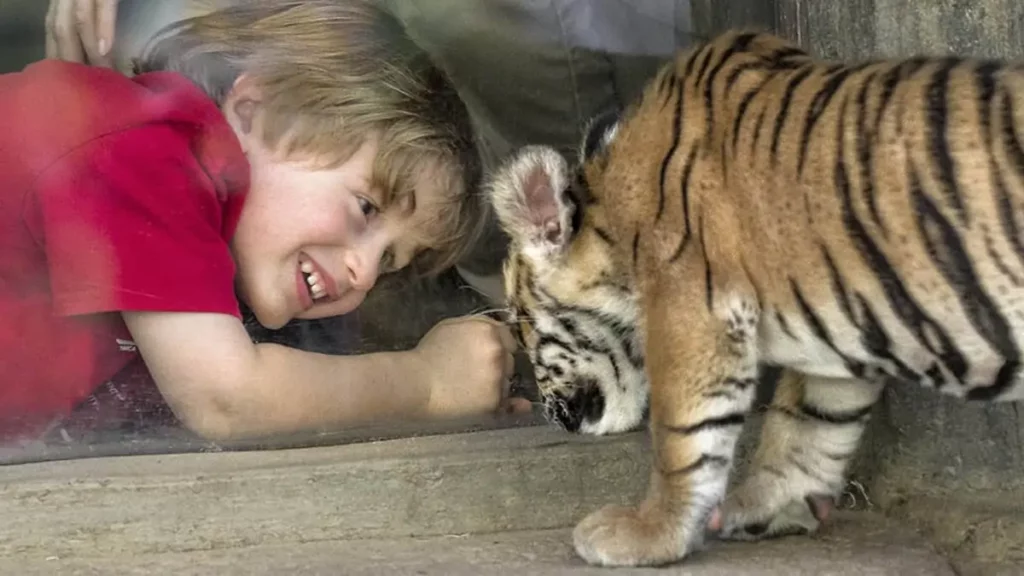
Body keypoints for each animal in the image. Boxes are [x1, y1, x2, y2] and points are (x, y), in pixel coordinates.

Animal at [483, 30, 1024, 565]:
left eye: (521, 326)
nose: (554, 419)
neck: (614, 221)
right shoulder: (836, 332)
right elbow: (809, 425)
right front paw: (766, 507)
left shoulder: (692, 314)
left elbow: (682, 439)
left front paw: (648, 534)